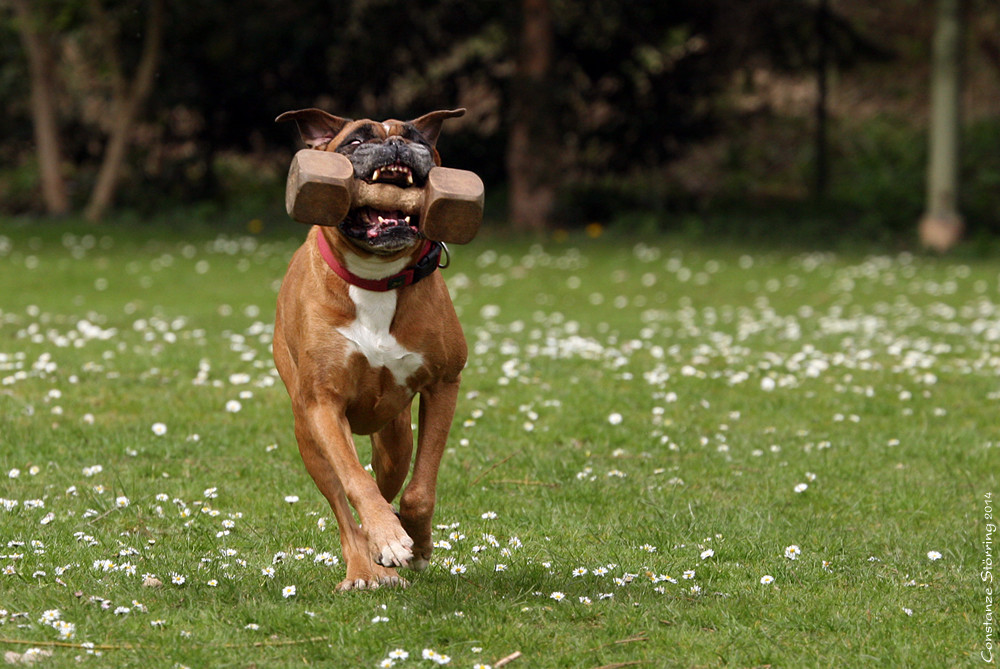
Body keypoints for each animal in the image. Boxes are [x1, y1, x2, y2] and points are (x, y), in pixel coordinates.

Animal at [274, 105, 468, 588]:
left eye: (417, 137)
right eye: (357, 141)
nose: (396, 143)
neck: (376, 278)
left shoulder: (444, 385)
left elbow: (420, 490)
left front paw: (414, 541)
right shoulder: (323, 406)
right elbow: (353, 482)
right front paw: (386, 539)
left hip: (395, 437)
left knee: (386, 481)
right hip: (308, 435)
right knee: (344, 502)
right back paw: (364, 565)